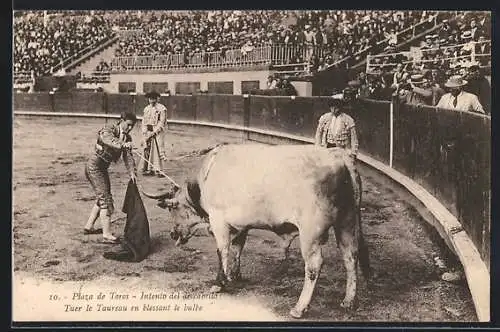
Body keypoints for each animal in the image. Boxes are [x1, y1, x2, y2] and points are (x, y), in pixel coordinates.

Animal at [145, 144, 372, 318]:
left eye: (173, 208)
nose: (173, 234)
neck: (207, 176)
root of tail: (339, 155)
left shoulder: (219, 222)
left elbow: (222, 251)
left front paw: (219, 283)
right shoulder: (240, 226)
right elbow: (237, 249)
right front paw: (233, 276)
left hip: (311, 232)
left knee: (314, 265)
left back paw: (300, 308)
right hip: (347, 222)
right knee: (350, 256)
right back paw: (348, 301)